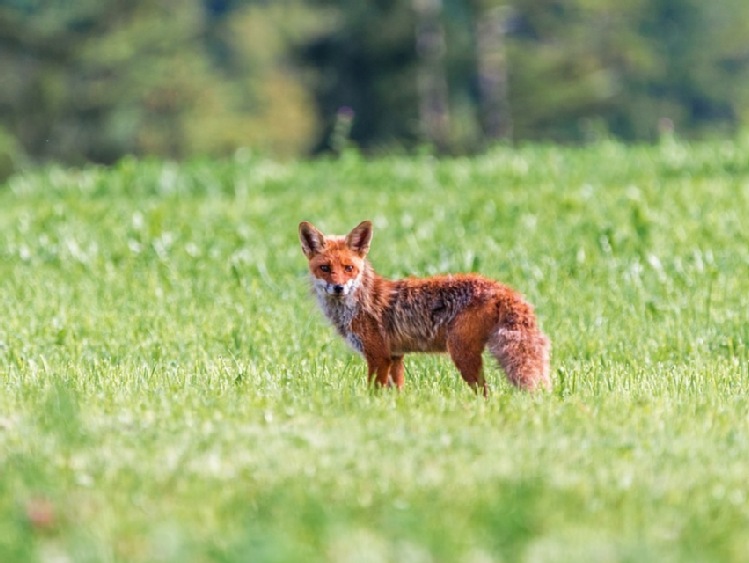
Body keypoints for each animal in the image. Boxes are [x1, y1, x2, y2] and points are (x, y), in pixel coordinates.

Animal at [298, 220, 548, 396]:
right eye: (325, 268)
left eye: (348, 268)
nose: (338, 287)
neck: (355, 303)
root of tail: (500, 287)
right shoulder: (395, 356)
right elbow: (397, 392)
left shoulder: (378, 356)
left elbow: (373, 392)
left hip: (461, 353)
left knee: (485, 394)